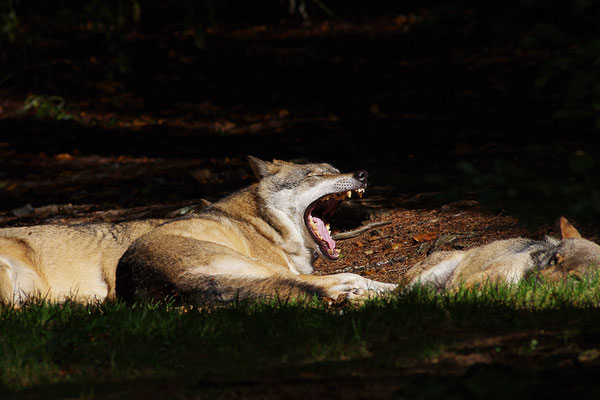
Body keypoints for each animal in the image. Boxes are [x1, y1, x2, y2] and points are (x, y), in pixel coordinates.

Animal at [0, 156, 398, 304]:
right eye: (316, 175)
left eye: (335, 169)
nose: (362, 173)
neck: (261, 223)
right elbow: (338, 277)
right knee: (334, 283)